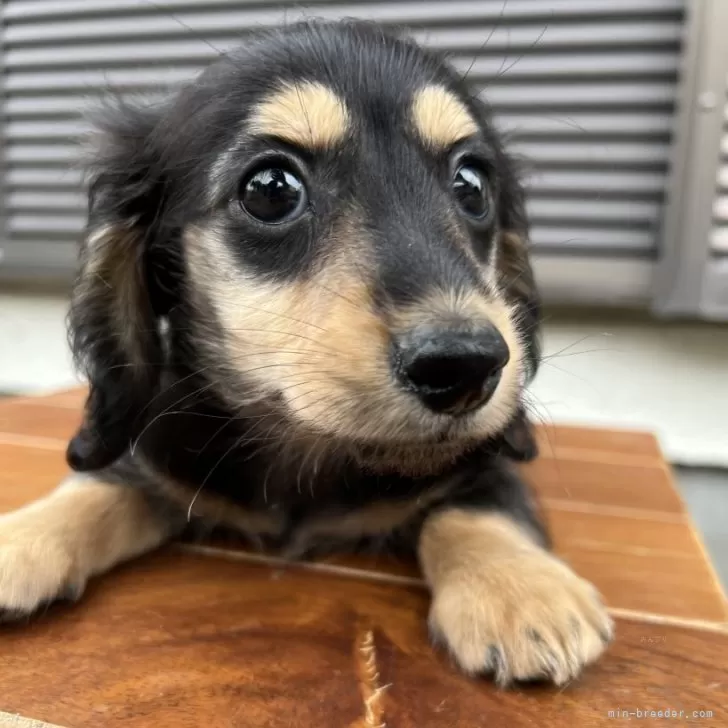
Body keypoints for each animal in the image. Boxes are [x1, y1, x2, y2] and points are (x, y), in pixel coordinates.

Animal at [0, 18, 616, 688]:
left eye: (471, 183)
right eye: (271, 190)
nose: (465, 368)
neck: (307, 449)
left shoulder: (481, 458)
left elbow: (482, 502)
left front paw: (519, 590)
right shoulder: (156, 459)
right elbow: (92, 489)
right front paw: (18, 538)